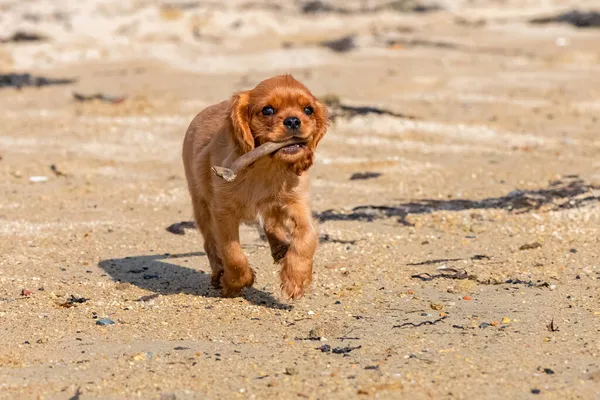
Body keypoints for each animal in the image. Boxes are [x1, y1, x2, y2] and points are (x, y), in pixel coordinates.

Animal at [183, 75, 328, 300]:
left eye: (308, 110)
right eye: (267, 110)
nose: (293, 121)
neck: (266, 166)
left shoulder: (297, 202)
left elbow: (307, 236)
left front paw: (295, 279)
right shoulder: (222, 212)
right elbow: (232, 253)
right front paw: (234, 283)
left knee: (271, 223)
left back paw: (280, 248)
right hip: (200, 203)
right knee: (210, 242)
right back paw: (219, 272)